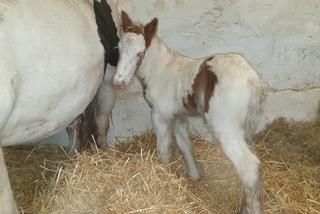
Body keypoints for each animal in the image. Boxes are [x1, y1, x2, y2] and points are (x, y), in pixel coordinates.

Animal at [114, 11, 264, 214]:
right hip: (245, 127)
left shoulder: (160, 115)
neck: (159, 69)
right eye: (119, 48)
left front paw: (163, 177)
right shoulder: (179, 116)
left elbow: (164, 148)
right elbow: (185, 144)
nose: (118, 83)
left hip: (226, 128)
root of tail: (253, 81)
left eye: (140, 53)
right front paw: (194, 176)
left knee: (249, 167)